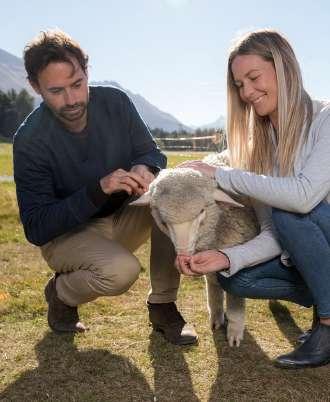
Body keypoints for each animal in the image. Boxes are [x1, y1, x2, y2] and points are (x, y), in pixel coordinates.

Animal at [131, 152, 258, 348]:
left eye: (201, 211)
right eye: (163, 221)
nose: (183, 256)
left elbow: (235, 301)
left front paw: (235, 333)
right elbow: (213, 288)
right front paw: (216, 319)